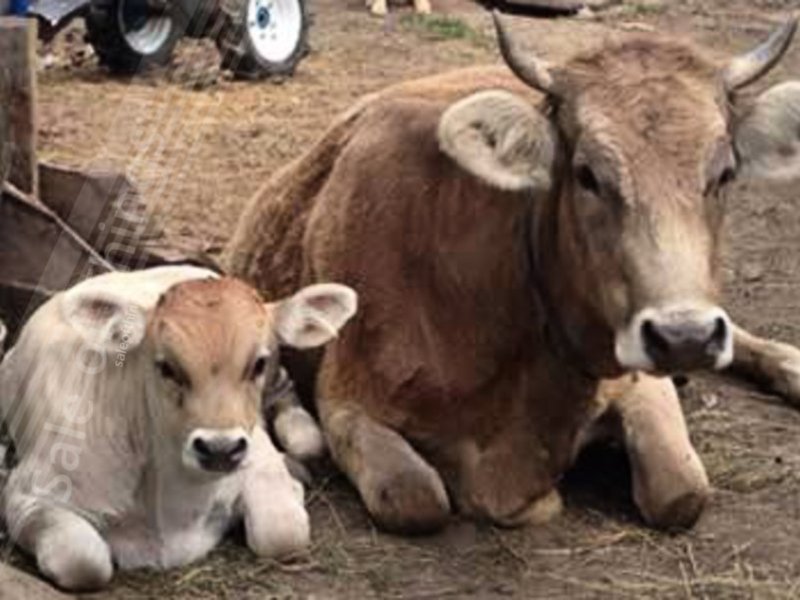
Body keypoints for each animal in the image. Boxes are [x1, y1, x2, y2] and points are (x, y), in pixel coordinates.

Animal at [0, 266, 357, 591]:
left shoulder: (259, 459)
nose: (219, 449)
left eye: (257, 363)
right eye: (166, 367)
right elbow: (82, 561)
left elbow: (283, 533)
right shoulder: (29, 496)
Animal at [224, 13, 800, 534]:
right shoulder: (345, 402)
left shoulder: (631, 370)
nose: (685, 337)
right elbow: (414, 498)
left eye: (725, 173)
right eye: (586, 175)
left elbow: (680, 492)